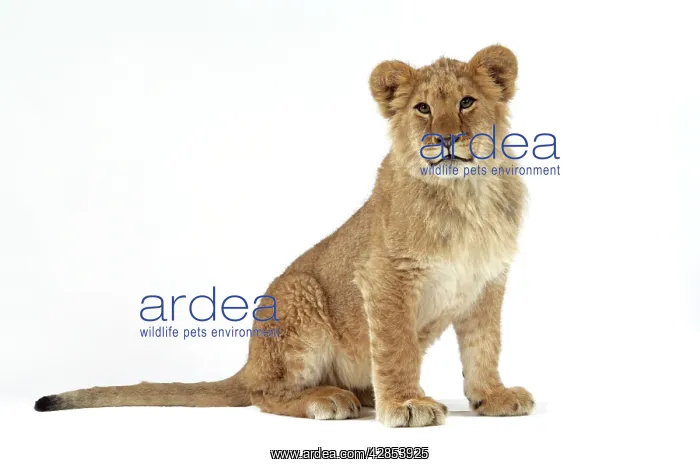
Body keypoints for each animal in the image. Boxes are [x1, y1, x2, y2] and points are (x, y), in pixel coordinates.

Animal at [35, 44, 534, 427]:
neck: (465, 196)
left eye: (466, 102)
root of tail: (249, 362)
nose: (446, 139)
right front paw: (407, 405)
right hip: (298, 294)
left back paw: (361, 396)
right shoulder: (385, 278)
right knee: (264, 394)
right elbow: (397, 348)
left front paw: (492, 397)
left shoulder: (488, 281)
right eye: (423, 108)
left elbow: (484, 346)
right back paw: (329, 399)